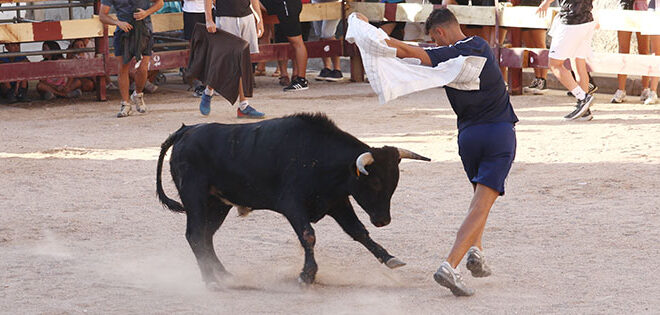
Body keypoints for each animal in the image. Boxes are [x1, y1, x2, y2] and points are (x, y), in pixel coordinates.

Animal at [157, 114, 430, 288]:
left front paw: (390, 258)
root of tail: (186, 131)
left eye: (394, 183)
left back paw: (223, 274)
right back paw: (211, 279)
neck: (318, 156)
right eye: (374, 183)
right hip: (196, 198)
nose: (383, 220)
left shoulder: (337, 202)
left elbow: (359, 232)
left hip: (217, 205)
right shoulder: (292, 205)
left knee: (206, 236)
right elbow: (308, 235)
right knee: (195, 235)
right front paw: (307, 276)